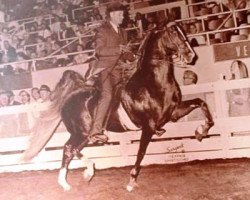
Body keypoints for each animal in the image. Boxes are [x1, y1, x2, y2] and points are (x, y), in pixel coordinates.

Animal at [21, 22, 214, 192]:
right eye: (173, 33)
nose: (191, 56)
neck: (153, 83)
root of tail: (71, 96)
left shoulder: (173, 113)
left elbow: (201, 103)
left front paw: (201, 131)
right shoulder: (149, 127)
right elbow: (141, 153)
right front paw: (131, 182)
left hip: (83, 135)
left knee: (70, 149)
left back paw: (71, 181)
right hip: (81, 132)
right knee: (70, 148)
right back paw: (83, 173)